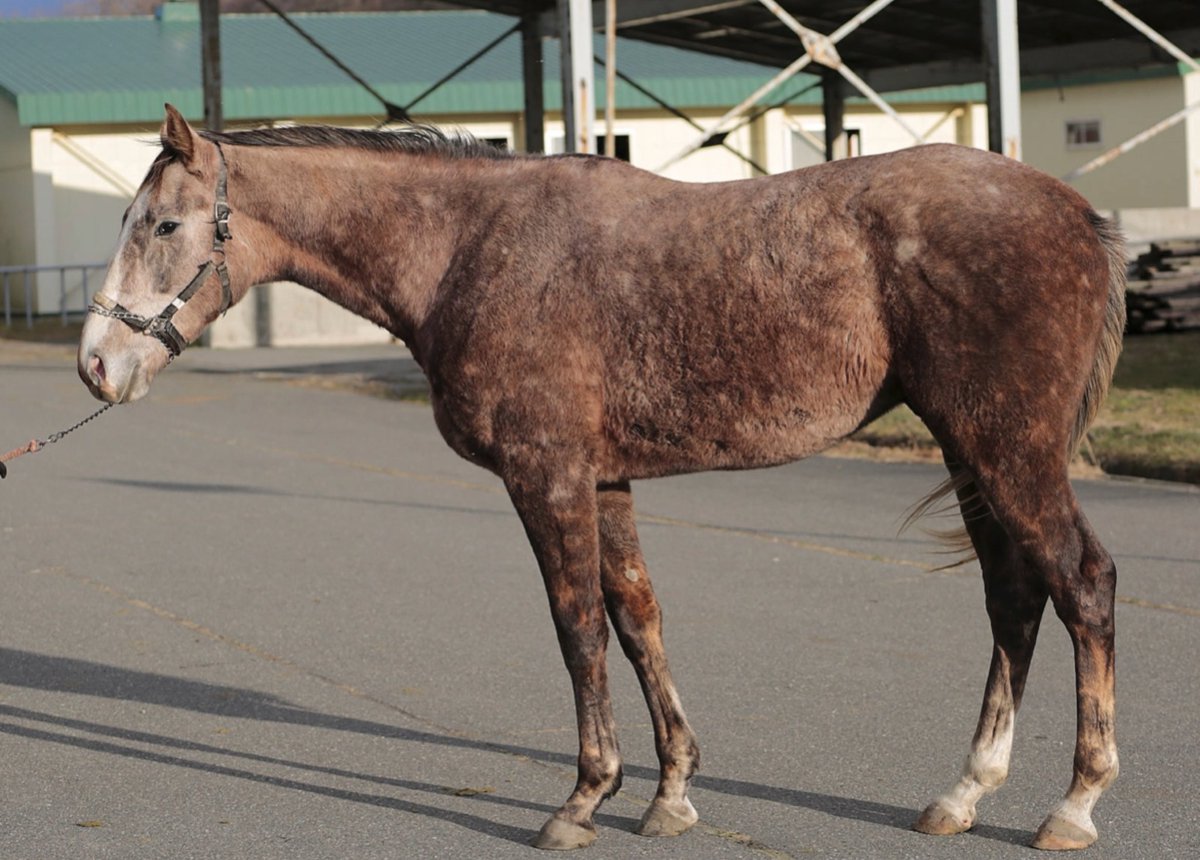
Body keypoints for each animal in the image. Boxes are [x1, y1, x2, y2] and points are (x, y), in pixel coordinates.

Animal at [78, 105, 1125, 851]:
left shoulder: (547, 478)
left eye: (162, 225)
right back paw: (964, 791)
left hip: (1006, 449)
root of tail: (1074, 211)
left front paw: (583, 800)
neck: (468, 246)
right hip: (971, 450)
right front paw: (670, 794)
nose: (95, 365)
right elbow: (636, 617)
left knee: (1081, 583)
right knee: (1013, 598)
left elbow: (577, 626)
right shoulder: (607, 481)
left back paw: (1073, 806)